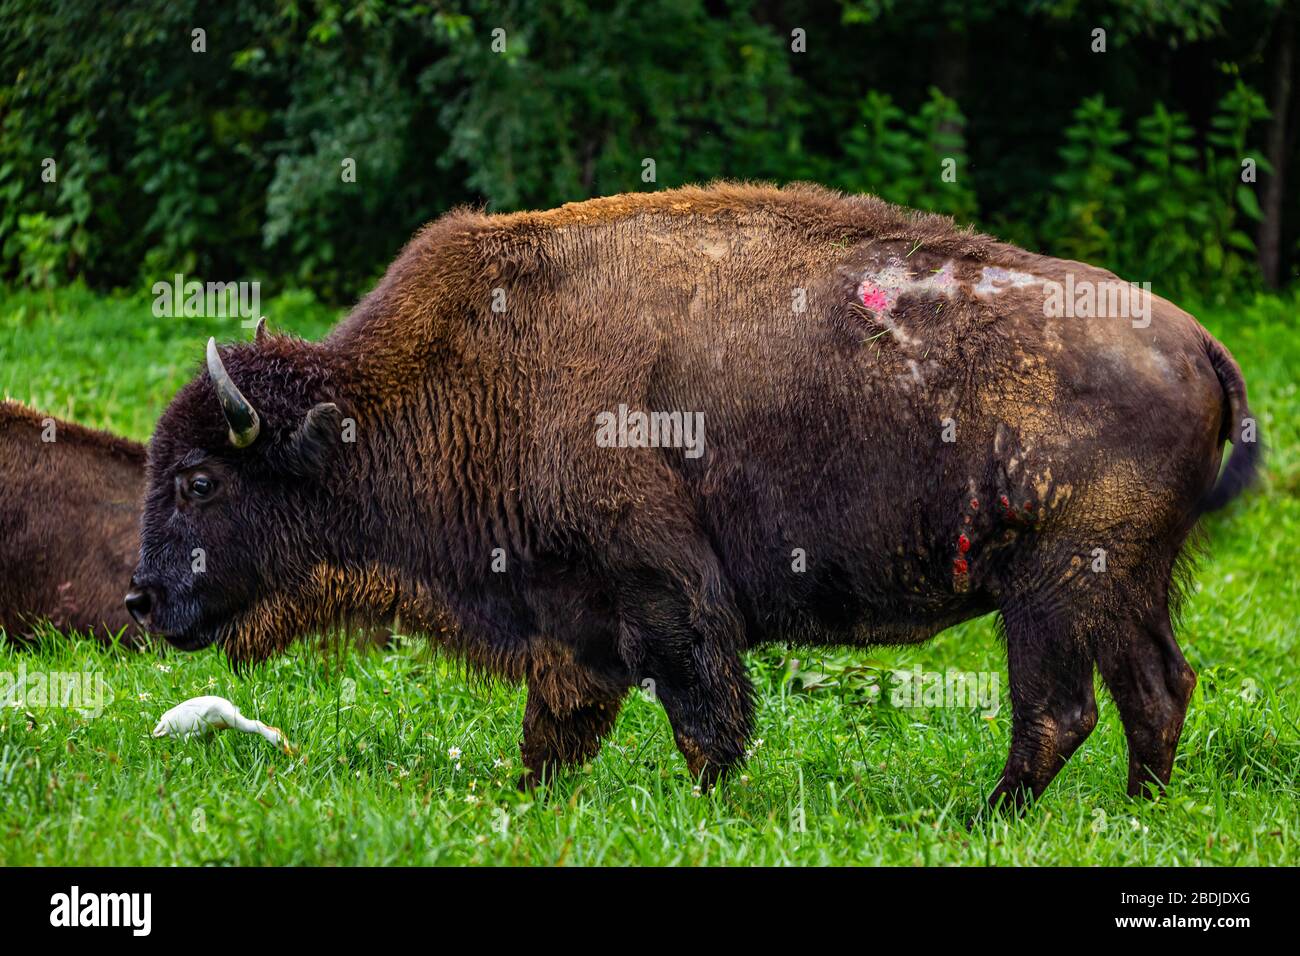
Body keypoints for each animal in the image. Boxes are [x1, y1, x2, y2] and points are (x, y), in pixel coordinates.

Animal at [128, 183, 1258, 806]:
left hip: (1054, 592)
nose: (140, 598)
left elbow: (701, 715)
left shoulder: (662, 593)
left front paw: (714, 806)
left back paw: (986, 816)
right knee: (1157, 688)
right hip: (1125, 586)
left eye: (197, 478)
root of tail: (1196, 341)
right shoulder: (569, 613)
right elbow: (559, 727)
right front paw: (529, 800)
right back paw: (1137, 812)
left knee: (1058, 710)